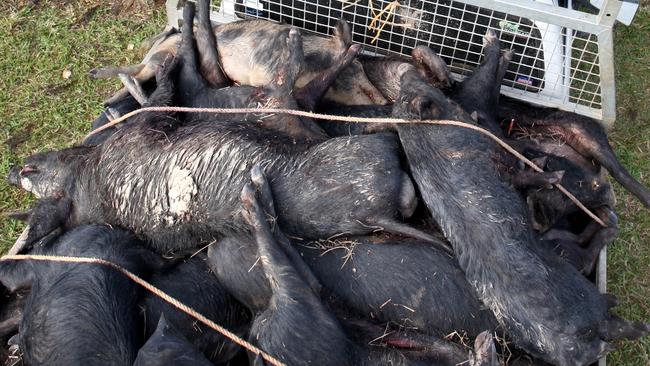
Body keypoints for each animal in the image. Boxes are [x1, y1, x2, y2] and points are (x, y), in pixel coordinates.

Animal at [390, 53, 648, 364]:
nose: (405, 70)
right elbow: (522, 175)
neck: (429, 147)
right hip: (588, 296)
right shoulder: (495, 156)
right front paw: (553, 176)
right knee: (609, 298)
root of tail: (580, 347)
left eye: (406, 93)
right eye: (417, 91)